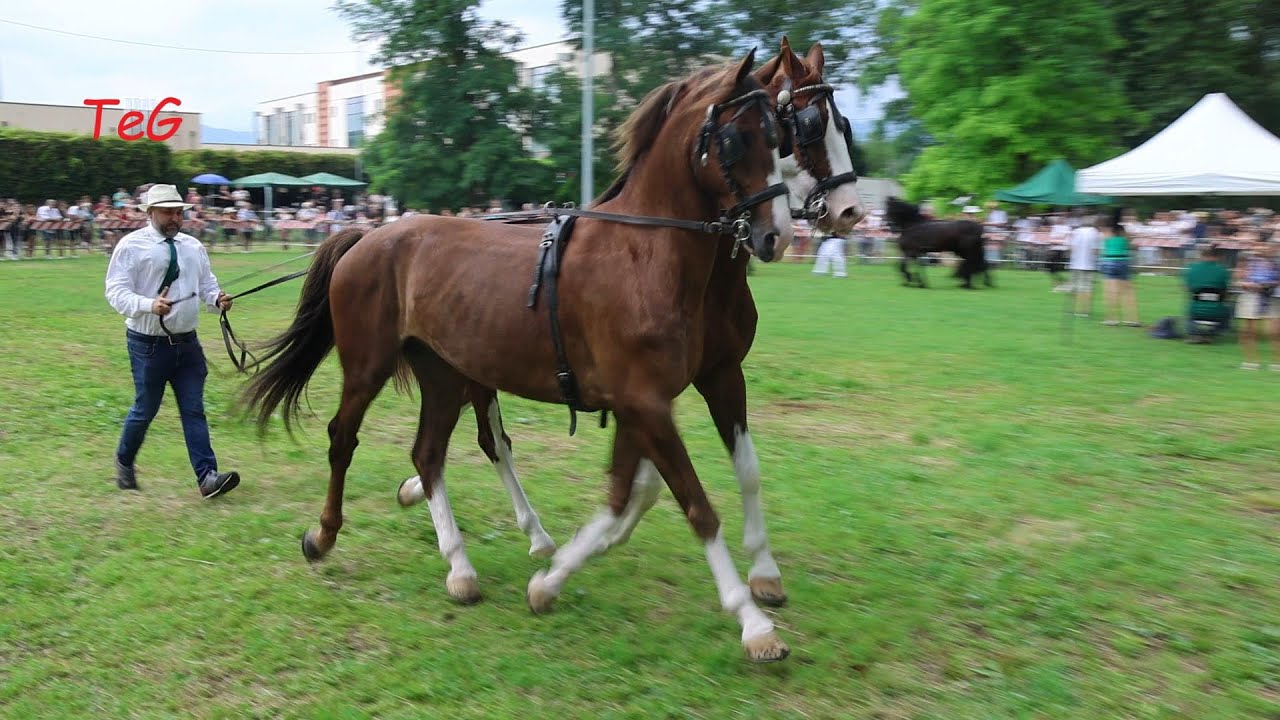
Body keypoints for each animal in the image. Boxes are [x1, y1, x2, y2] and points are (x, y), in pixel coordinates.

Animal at [242, 50, 797, 662]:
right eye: (735, 140)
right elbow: (696, 506)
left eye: (780, 134)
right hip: (369, 367)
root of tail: (368, 235)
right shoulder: (646, 404)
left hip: (444, 375)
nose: (777, 235)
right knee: (345, 439)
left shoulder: (652, 403)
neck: (642, 255)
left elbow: (628, 495)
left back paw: (461, 568)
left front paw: (549, 581)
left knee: (429, 454)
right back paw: (323, 536)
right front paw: (753, 623)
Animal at [393, 37, 865, 615]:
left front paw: (764, 573)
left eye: (842, 124)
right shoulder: (649, 393)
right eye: (804, 124)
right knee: (487, 441)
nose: (849, 212)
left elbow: (723, 475)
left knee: (481, 440)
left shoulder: (715, 376)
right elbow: (657, 487)